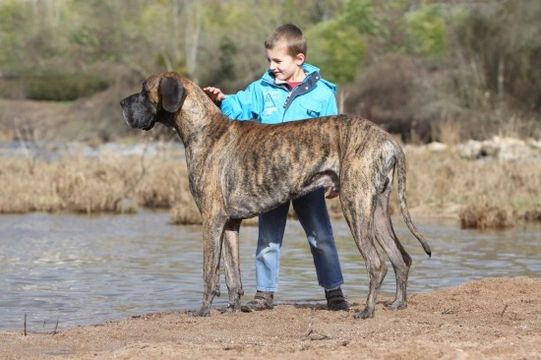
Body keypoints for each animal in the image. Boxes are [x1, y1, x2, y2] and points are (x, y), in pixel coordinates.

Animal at [119, 71, 430, 320]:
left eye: (144, 91)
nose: (121, 103)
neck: (202, 128)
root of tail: (388, 140)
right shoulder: (229, 224)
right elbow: (232, 275)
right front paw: (233, 308)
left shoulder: (211, 219)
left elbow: (209, 272)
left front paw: (203, 311)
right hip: (376, 210)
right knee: (401, 258)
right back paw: (398, 304)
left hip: (356, 207)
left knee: (377, 264)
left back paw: (367, 310)